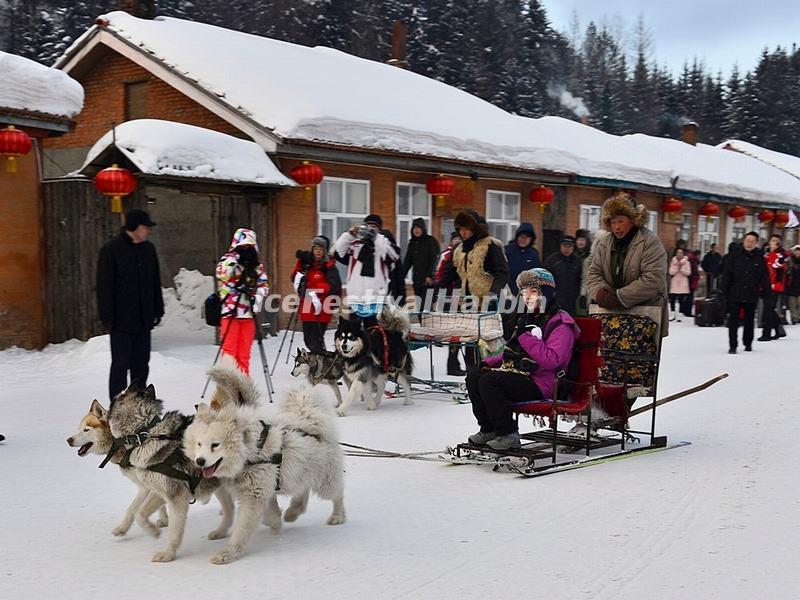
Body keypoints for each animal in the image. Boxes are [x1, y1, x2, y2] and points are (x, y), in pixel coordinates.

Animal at [184, 364, 346, 564]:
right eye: (199, 444)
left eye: (215, 445)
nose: (199, 461)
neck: (250, 452)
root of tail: (312, 421)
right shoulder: (261, 489)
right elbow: (268, 512)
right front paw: (276, 521)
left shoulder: (255, 495)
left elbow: (243, 529)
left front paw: (227, 554)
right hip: (299, 472)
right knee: (303, 489)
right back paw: (293, 511)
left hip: (325, 482)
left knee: (337, 494)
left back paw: (337, 516)